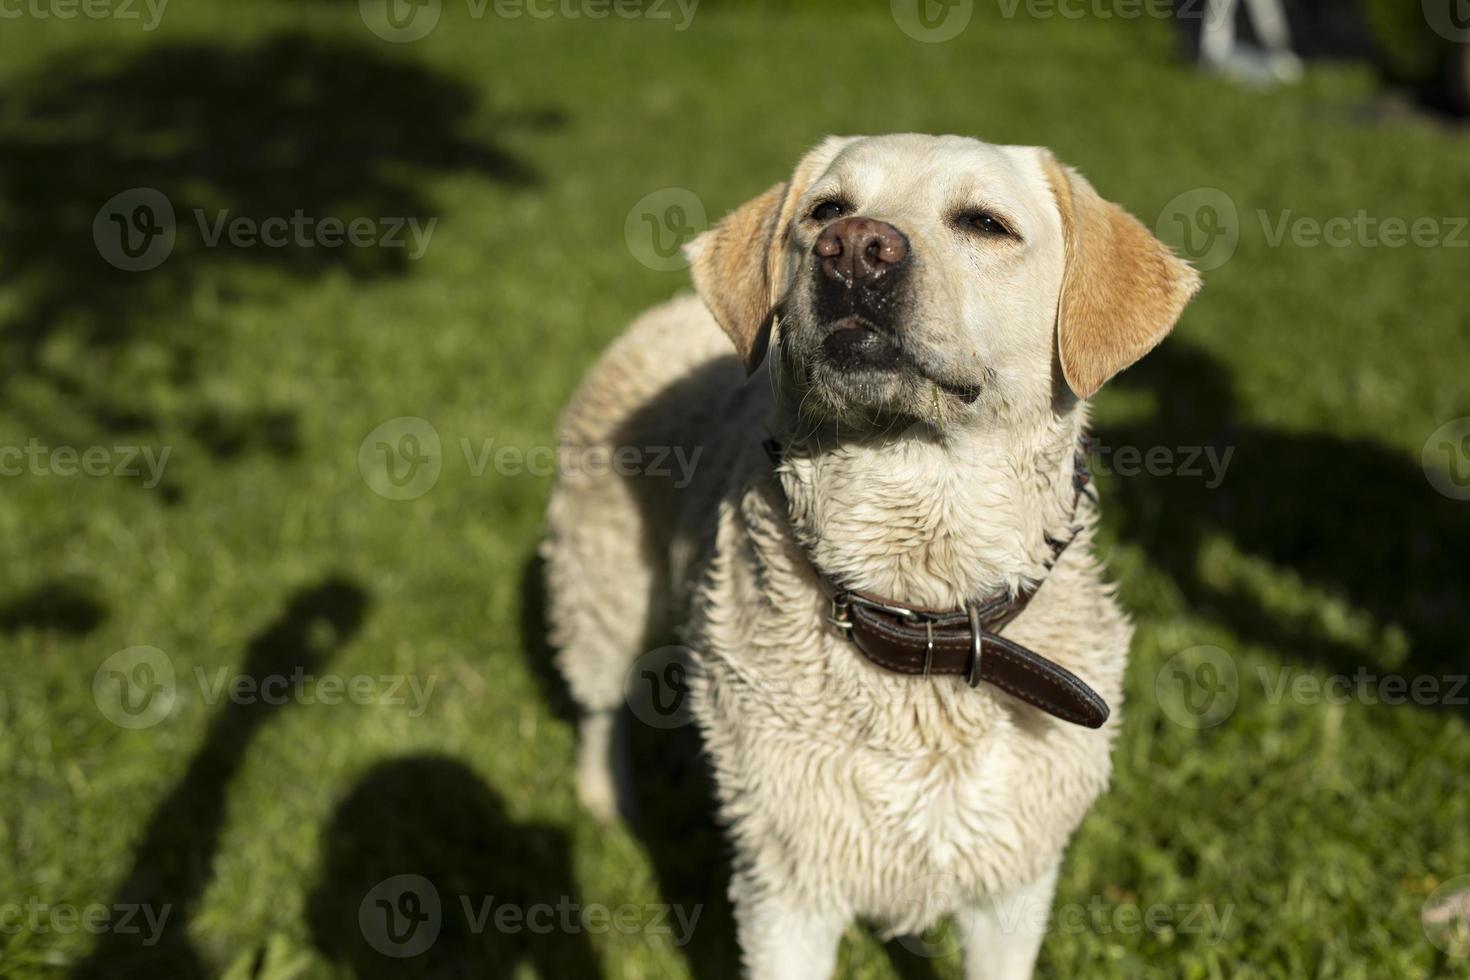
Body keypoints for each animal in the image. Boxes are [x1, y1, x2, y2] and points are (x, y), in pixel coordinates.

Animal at [546, 134, 1199, 975]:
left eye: (985, 223)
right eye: (827, 209)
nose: (855, 247)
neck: (921, 603)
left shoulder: (1012, 883)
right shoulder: (785, 887)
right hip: (603, 584)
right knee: (599, 702)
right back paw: (604, 797)